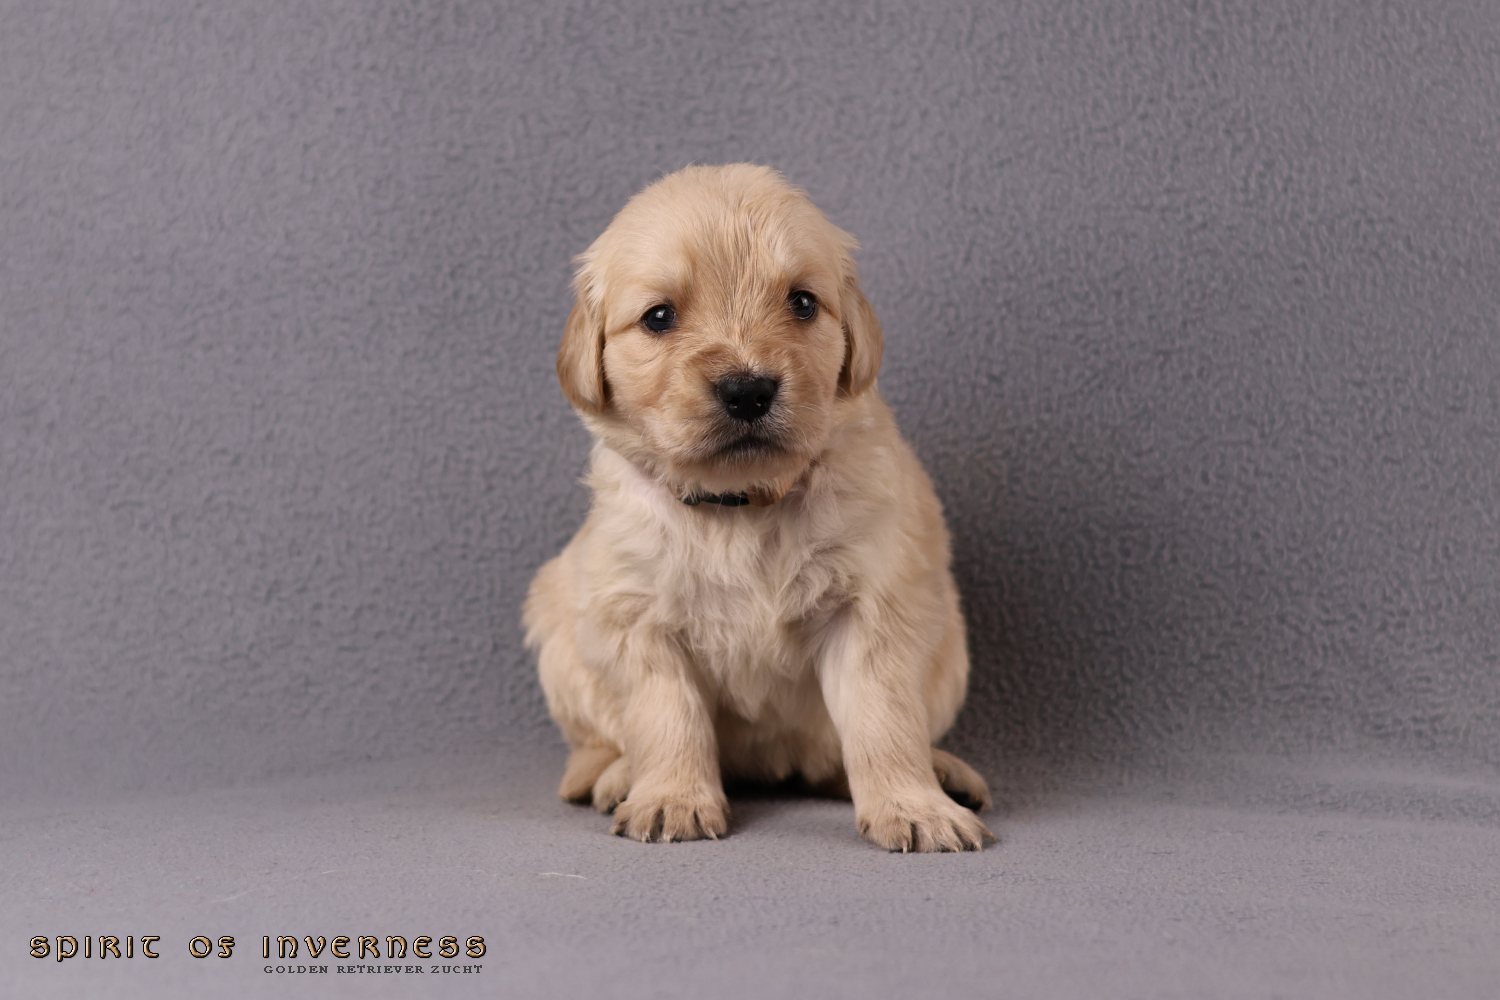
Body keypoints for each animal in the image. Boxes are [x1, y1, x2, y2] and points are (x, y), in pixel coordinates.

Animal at [523, 164, 992, 851]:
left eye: (803, 303)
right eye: (658, 317)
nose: (748, 390)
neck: (740, 504)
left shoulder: (872, 604)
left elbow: (883, 717)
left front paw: (913, 806)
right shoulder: (635, 614)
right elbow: (667, 715)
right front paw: (672, 798)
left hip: (950, 647)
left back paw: (941, 771)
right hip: (558, 618)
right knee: (597, 741)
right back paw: (613, 776)